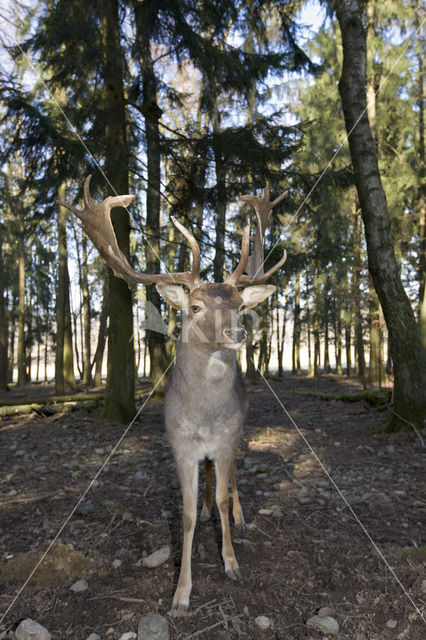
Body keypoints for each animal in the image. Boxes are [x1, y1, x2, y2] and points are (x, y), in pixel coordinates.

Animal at [58, 179, 286, 616]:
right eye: (195, 306)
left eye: (239, 304)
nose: (237, 333)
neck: (204, 419)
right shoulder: (180, 447)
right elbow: (187, 514)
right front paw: (181, 593)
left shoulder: (226, 440)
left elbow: (223, 497)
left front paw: (231, 563)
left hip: (238, 433)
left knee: (232, 478)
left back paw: (240, 516)